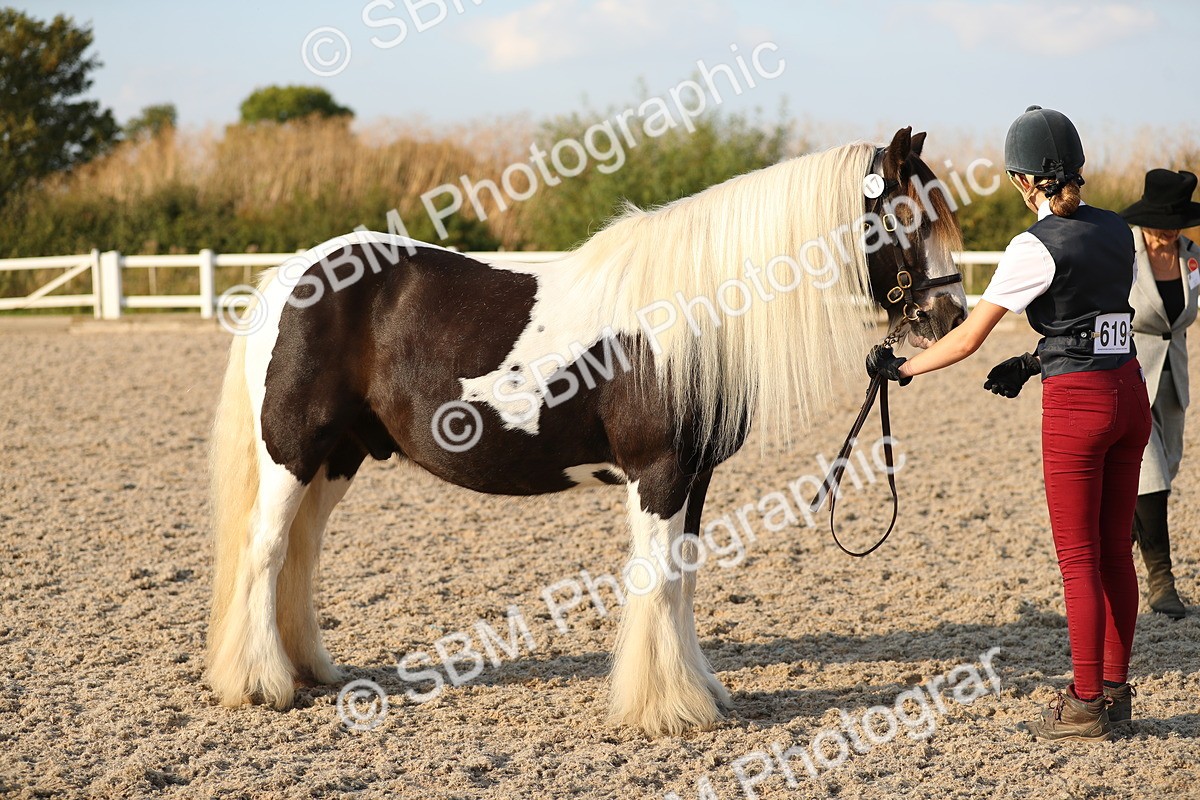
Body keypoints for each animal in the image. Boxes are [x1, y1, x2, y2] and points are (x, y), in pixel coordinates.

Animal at [206, 126, 968, 737]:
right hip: (292, 451)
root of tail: (292, 275)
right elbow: (657, 580)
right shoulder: (657, 475)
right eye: (909, 212)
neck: (692, 314)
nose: (952, 316)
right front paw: (665, 710)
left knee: (301, 554)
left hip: (339, 456)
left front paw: (700, 692)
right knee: (266, 549)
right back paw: (260, 684)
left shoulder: (695, 477)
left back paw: (310, 670)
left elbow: (684, 579)